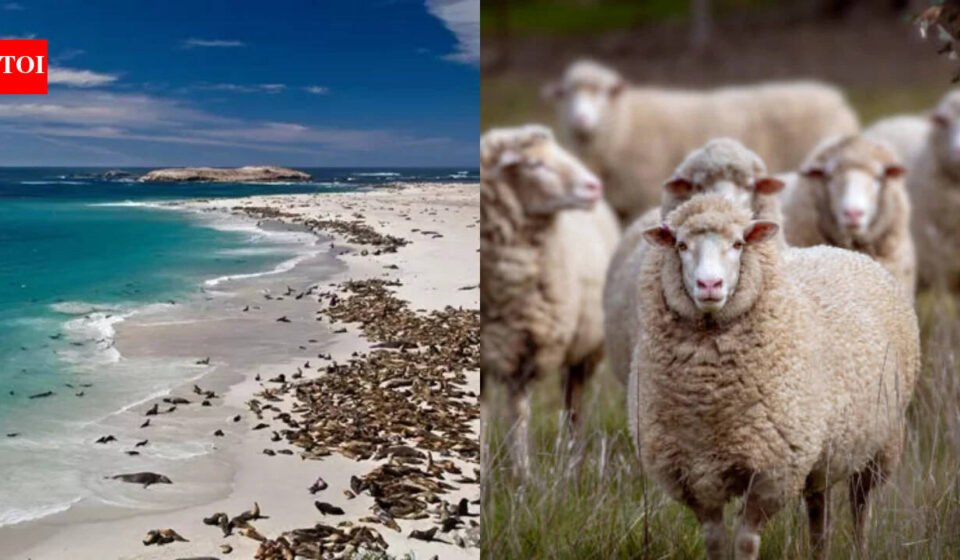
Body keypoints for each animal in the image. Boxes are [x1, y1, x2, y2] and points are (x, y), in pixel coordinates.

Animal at [480, 124, 619, 474]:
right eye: (535, 165)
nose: (594, 186)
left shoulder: (526, 349)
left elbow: (519, 416)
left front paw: (522, 474)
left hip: (585, 351)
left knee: (574, 407)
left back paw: (573, 460)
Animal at [542, 59, 860, 222]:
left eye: (604, 93)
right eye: (567, 94)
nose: (581, 119)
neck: (625, 123)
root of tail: (837, 99)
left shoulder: (638, 197)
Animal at [629, 194, 919, 560]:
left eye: (738, 244)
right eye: (681, 245)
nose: (709, 285)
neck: (709, 400)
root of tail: (841, 251)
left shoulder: (773, 472)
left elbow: (746, 541)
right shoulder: (694, 475)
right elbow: (715, 541)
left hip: (881, 442)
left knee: (860, 505)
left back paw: (860, 548)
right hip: (821, 451)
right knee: (819, 509)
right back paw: (819, 551)